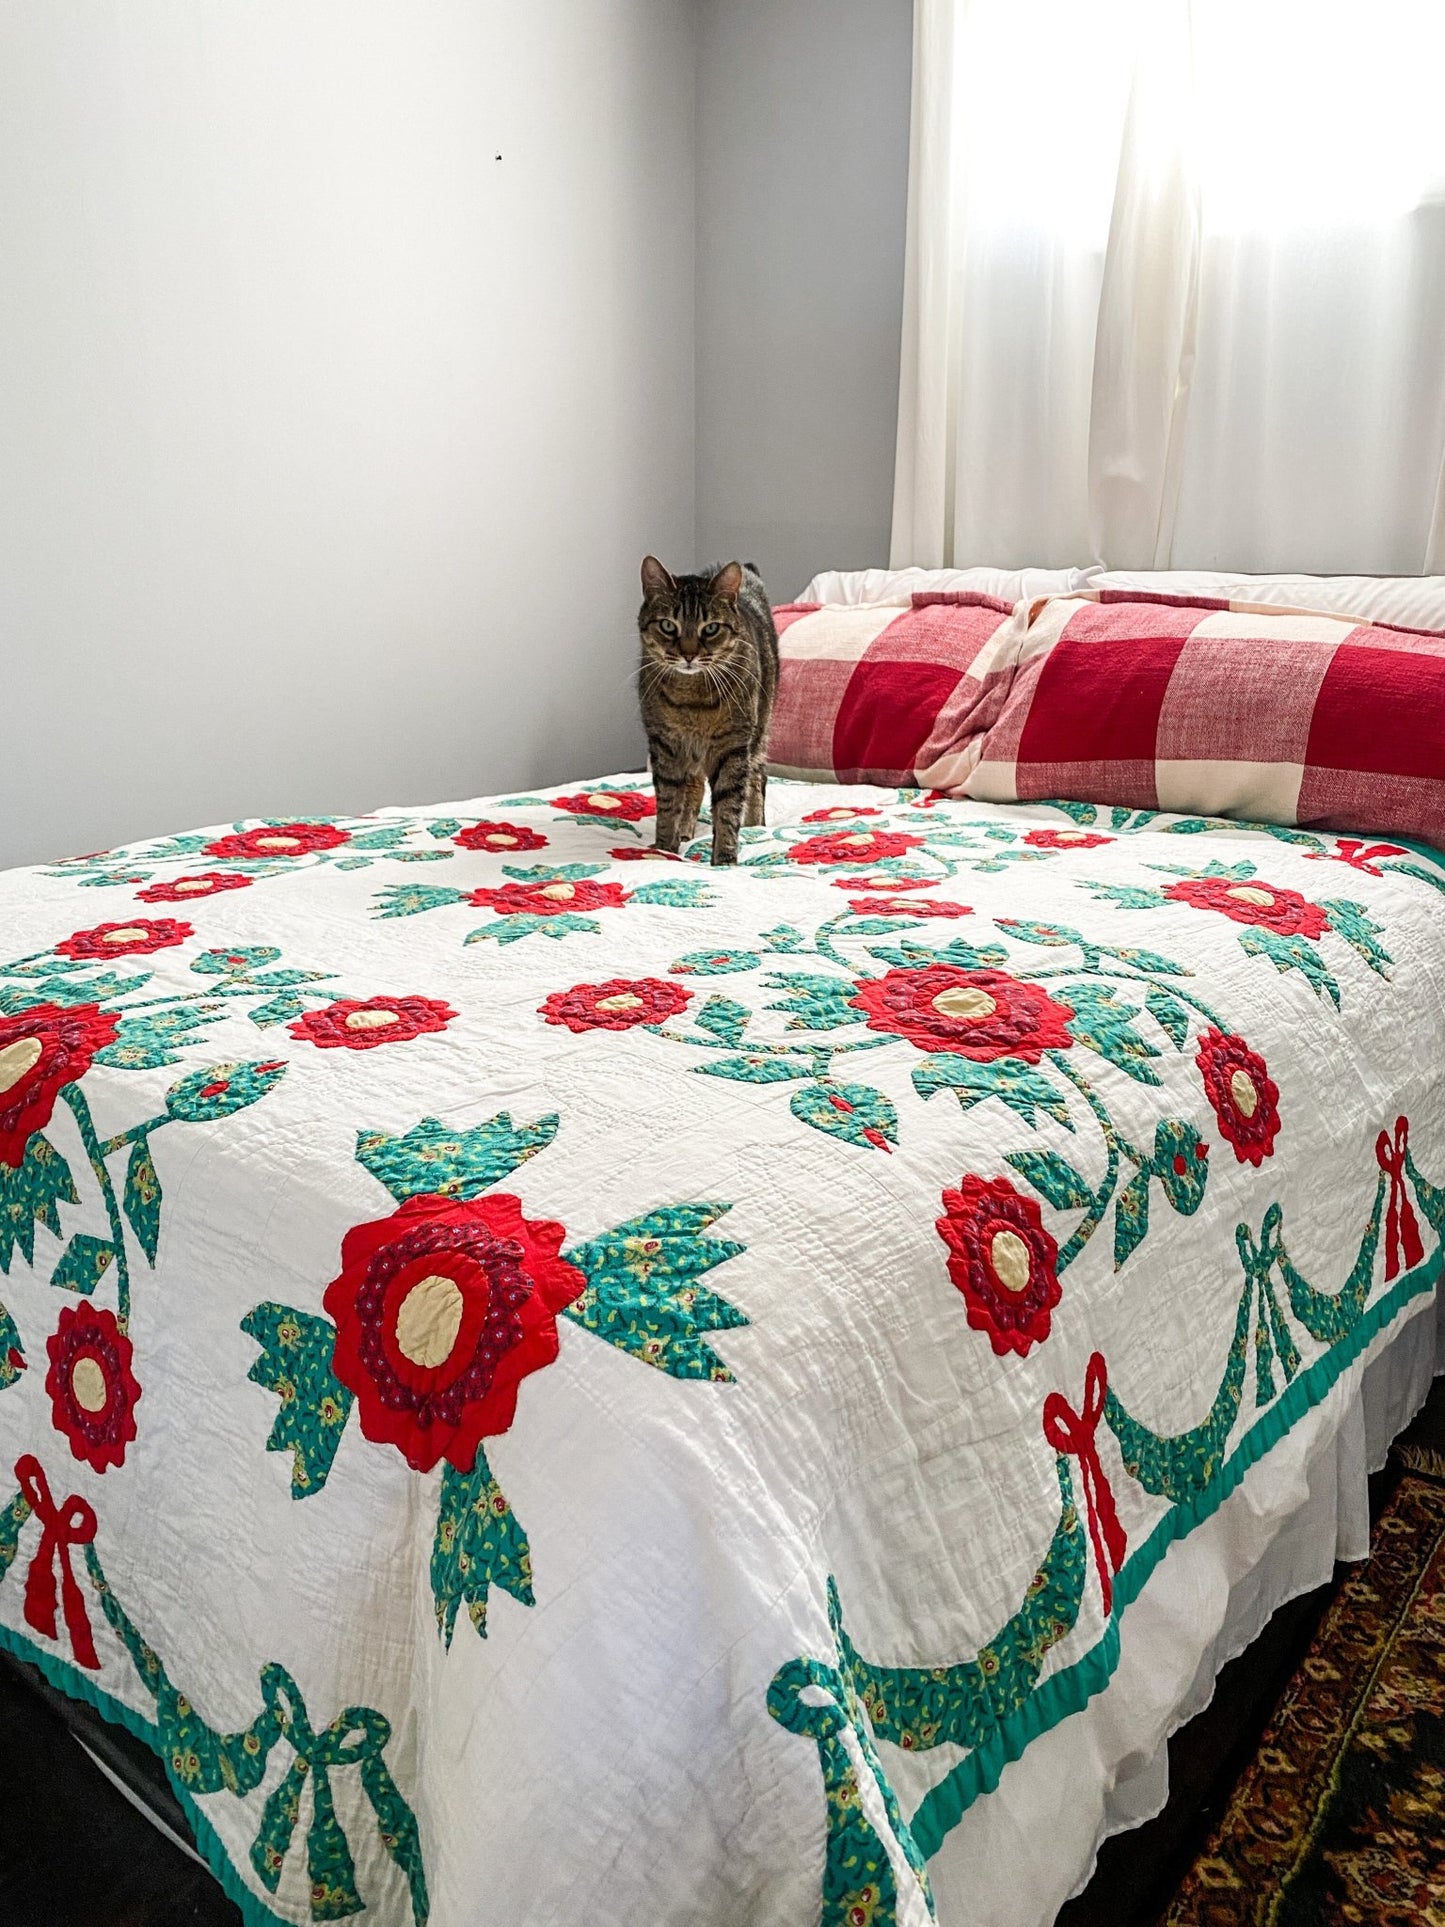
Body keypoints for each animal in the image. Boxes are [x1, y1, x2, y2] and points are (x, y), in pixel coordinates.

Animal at [639, 554, 782, 863]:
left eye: (711, 628)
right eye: (668, 626)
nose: (689, 654)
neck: (691, 700)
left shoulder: (733, 747)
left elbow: (728, 807)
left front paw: (725, 859)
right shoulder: (664, 745)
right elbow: (668, 802)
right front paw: (664, 848)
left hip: (760, 731)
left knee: (757, 778)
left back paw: (755, 825)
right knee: (694, 785)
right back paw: (685, 830)